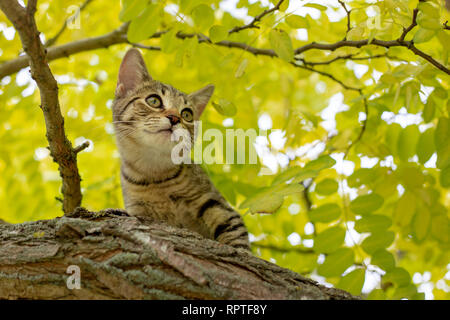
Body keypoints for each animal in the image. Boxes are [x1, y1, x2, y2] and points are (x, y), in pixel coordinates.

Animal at [110, 49, 250, 250]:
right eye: (153, 100)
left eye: (187, 114)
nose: (175, 118)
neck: (154, 173)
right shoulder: (138, 210)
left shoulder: (215, 202)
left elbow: (236, 236)